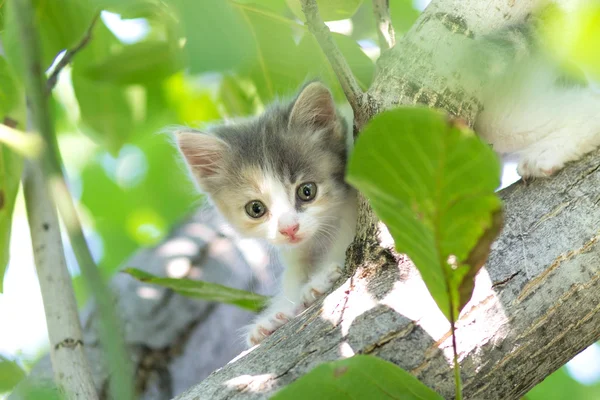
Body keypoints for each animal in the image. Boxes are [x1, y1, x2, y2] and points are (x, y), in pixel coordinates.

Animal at [171, 82, 356, 346]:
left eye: (307, 191)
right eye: (256, 209)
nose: (289, 228)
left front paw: (320, 279)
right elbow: (293, 277)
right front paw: (275, 316)